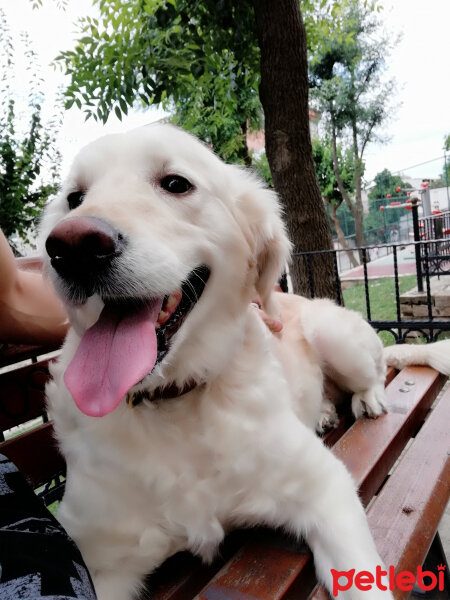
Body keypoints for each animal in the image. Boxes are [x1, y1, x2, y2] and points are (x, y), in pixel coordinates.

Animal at [42, 123, 450, 600]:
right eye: (74, 198)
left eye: (175, 183)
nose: (71, 247)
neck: (172, 399)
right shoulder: (93, 558)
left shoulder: (324, 486)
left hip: (334, 334)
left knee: (376, 369)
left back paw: (366, 400)